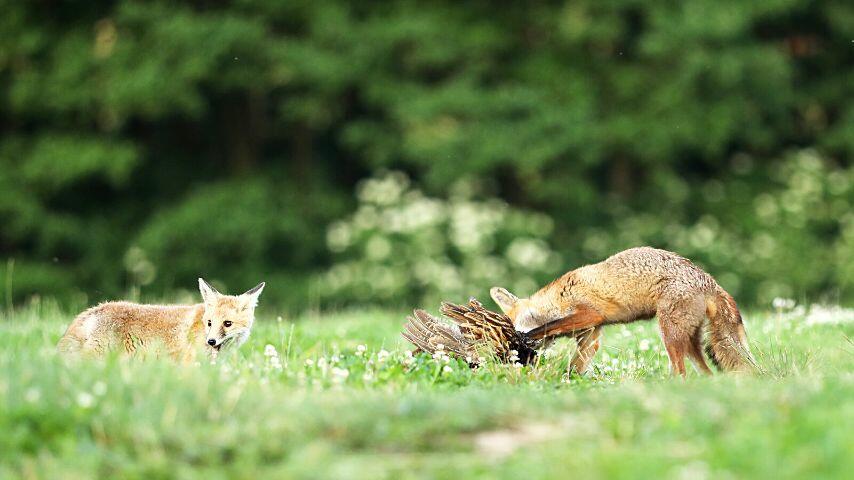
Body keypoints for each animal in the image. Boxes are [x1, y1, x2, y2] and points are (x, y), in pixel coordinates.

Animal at [494, 248, 756, 376]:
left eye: (512, 327)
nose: (516, 345)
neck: (559, 297)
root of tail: (710, 281)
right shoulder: (591, 337)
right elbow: (574, 367)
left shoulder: (591, 314)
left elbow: (549, 326)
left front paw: (530, 335)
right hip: (689, 343)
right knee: (707, 375)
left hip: (669, 334)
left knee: (681, 372)